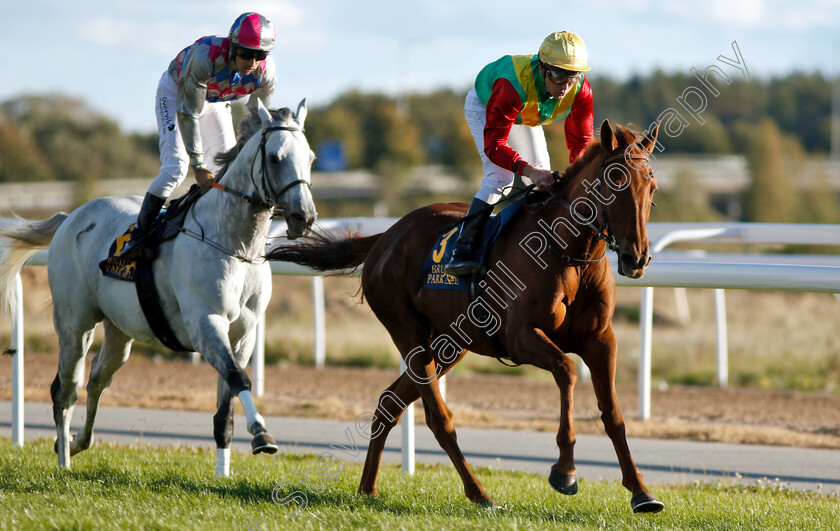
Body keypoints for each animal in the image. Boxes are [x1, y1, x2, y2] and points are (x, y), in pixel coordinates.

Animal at [0, 102, 316, 476]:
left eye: (311, 157)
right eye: (276, 158)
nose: (304, 217)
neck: (235, 245)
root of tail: (70, 218)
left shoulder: (245, 333)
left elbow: (227, 401)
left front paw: (227, 464)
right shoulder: (206, 324)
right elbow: (238, 378)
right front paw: (262, 433)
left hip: (120, 330)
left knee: (97, 379)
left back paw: (78, 443)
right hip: (74, 324)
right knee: (65, 389)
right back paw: (64, 460)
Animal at [270, 119, 664, 512]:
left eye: (652, 186)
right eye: (616, 181)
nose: (637, 258)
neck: (569, 253)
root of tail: (387, 236)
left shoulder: (601, 340)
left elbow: (613, 414)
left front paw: (641, 491)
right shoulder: (520, 337)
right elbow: (566, 371)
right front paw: (565, 471)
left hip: (449, 345)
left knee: (389, 402)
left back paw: (368, 488)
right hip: (409, 334)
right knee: (437, 418)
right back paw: (479, 493)